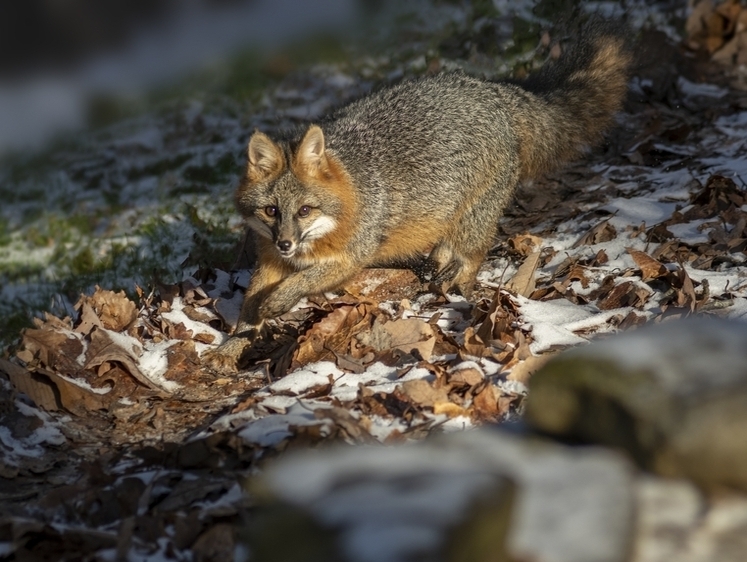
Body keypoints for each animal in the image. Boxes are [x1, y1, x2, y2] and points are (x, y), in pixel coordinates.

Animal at [207, 17, 636, 370]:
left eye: (305, 210)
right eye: (271, 211)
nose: (285, 244)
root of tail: (493, 89)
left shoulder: (350, 257)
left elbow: (302, 282)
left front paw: (278, 303)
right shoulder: (268, 264)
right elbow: (248, 311)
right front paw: (229, 349)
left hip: (473, 220)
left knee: (472, 256)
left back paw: (458, 292)